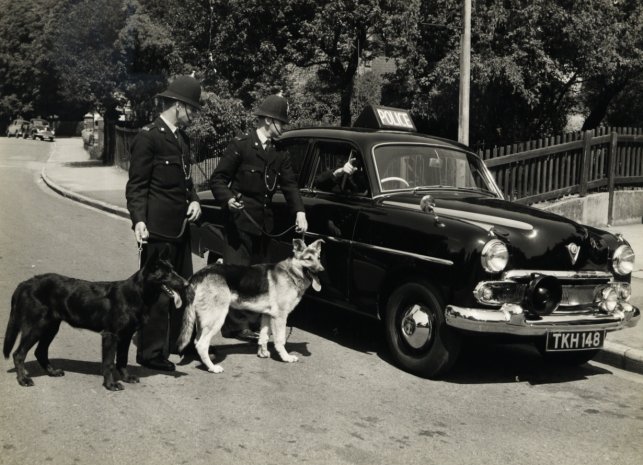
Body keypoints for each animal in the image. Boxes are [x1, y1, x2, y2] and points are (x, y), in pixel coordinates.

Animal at [3, 248, 189, 390]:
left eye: (174, 270)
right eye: (167, 274)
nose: (187, 284)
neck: (137, 294)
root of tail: (26, 283)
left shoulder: (126, 336)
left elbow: (122, 360)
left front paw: (126, 378)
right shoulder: (110, 336)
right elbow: (108, 362)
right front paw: (110, 385)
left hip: (50, 327)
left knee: (40, 351)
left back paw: (52, 372)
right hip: (37, 326)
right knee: (19, 353)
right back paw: (23, 379)